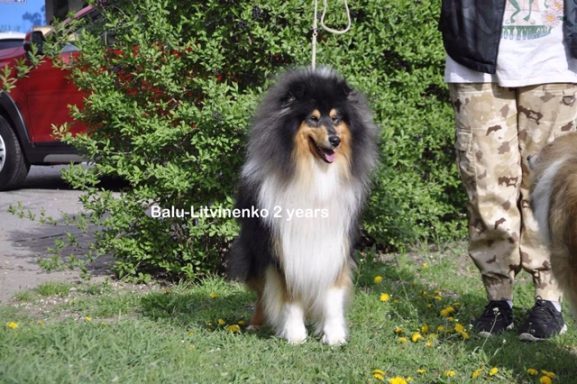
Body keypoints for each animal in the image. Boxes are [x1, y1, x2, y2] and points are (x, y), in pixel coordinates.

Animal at [227, 68, 380, 344]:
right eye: (313, 119)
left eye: (336, 118)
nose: (335, 140)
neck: (314, 173)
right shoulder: (284, 247)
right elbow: (289, 294)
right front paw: (295, 334)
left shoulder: (335, 243)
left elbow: (332, 293)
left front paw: (334, 334)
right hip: (255, 251)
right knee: (262, 292)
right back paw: (256, 323)